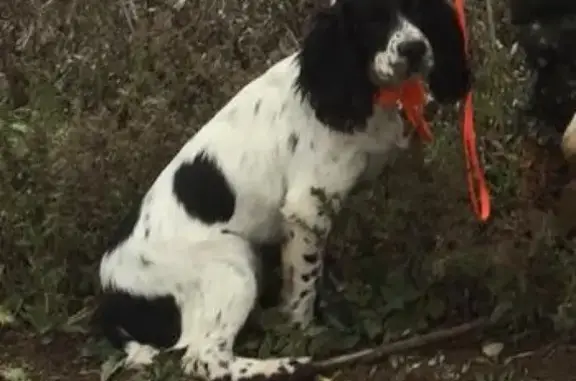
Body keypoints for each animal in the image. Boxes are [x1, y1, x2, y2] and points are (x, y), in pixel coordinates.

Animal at [94, 0, 470, 380]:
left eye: (421, 10)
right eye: (372, 18)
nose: (414, 48)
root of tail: (111, 298)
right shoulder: (307, 209)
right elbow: (303, 285)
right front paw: (303, 331)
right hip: (233, 263)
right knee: (203, 356)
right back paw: (284, 366)